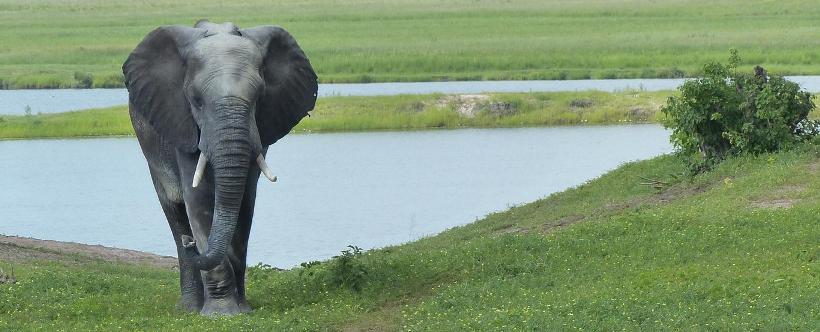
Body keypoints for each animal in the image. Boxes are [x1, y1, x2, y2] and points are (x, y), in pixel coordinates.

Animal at [123, 19, 318, 316]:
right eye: (196, 99)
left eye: (259, 96)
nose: (191, 242)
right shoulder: (182, 123)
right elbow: (199, 200)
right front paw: (221, 314)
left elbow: (244, 203)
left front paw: (242, 311)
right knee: (175, 209)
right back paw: (189, 308)